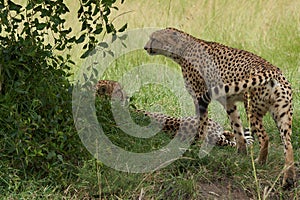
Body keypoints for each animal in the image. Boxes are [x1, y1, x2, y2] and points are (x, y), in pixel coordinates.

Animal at [144, 27, 296, 188]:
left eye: (154, 39)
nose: (145, 47)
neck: (183, 48)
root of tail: (272, 70)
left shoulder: (199, 97)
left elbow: (201, 124)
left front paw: (197, 145)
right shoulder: (229, 102)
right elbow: (237, 127)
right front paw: (240, 153)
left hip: (252, 110)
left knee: (265, 138)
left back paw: (261, 161)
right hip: (282, 114)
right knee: (288, 145)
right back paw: (288, 178)